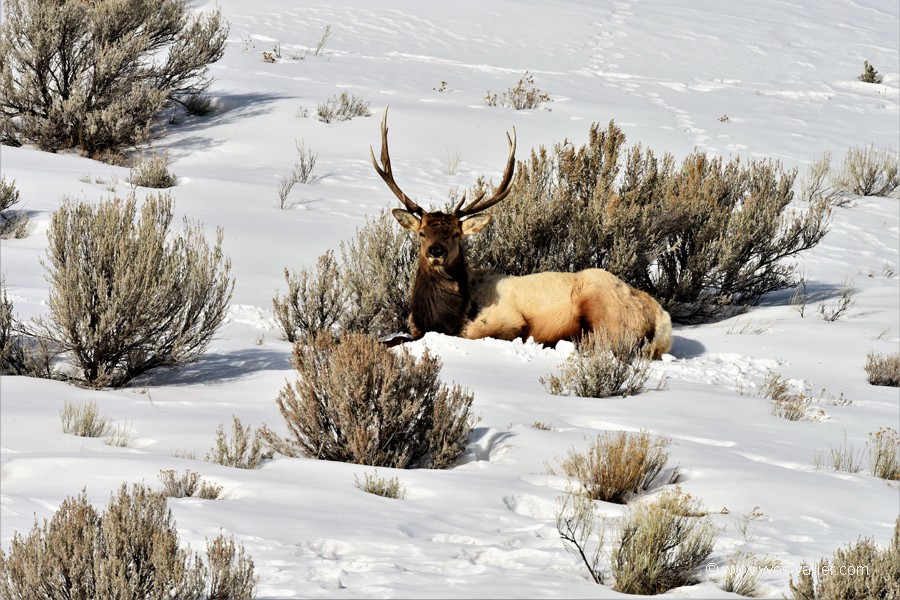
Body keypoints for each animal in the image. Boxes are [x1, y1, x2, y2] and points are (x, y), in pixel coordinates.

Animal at [370, 110, 672, 358]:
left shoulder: (506, 323)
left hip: (603, 311)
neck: (442, 317)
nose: (436, 250)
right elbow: (391, 339)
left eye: (456, 234)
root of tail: (660, 319)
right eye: (422, 232)